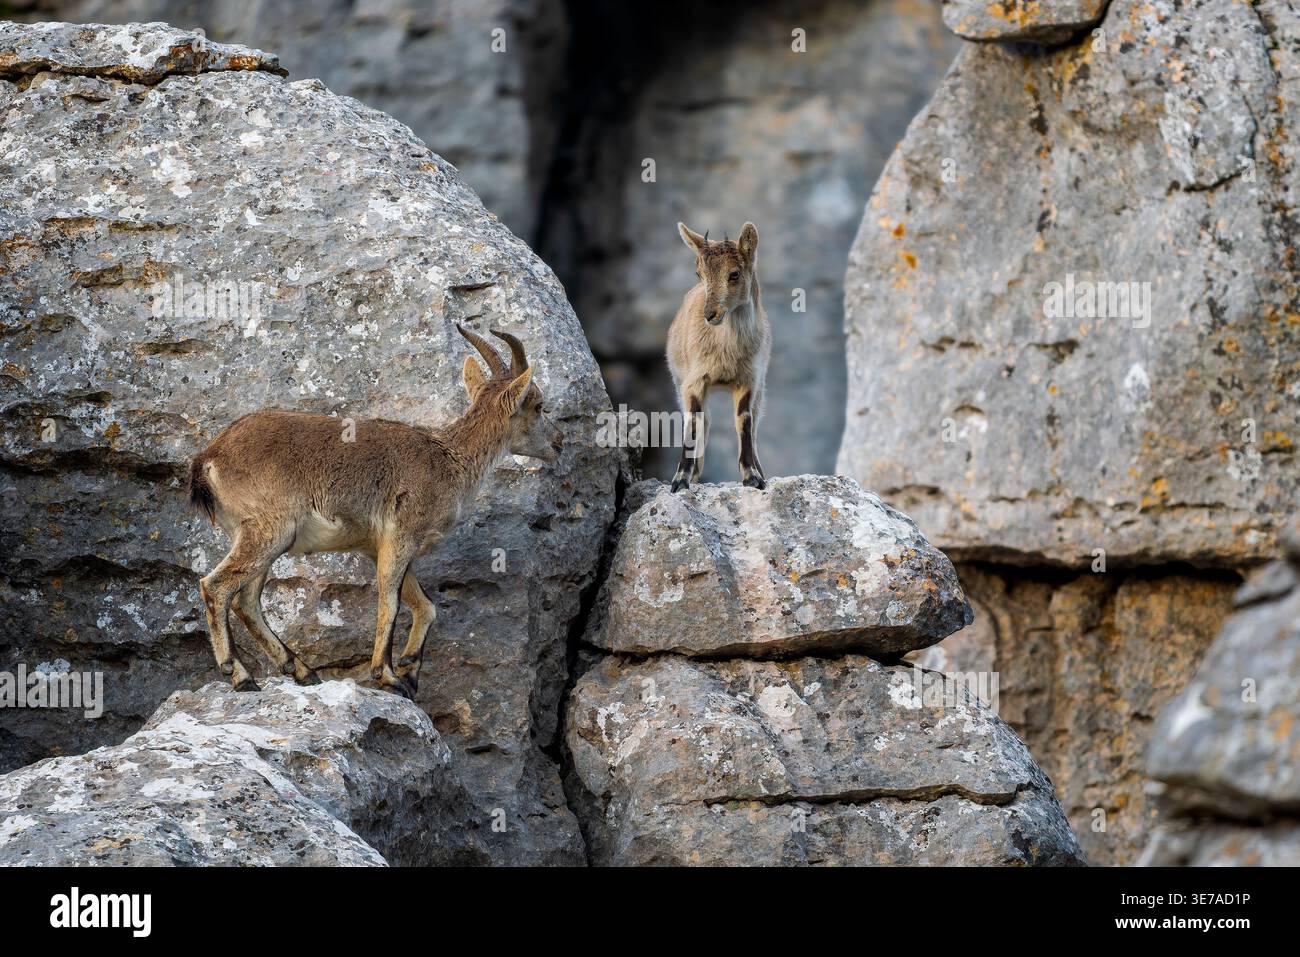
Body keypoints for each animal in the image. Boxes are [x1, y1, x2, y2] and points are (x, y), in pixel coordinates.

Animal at [186, 327, 561, 698]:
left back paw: (302, 670)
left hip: (258, 535)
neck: (450, 460)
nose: (558, 443)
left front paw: (410, 670)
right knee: (216, 586)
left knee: (246, 600)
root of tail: (209, 457)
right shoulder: (401, 536)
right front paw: (388, 675)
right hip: (270, 530)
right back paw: (240, 675)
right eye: (539, 405)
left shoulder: (377, 545)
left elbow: (425, 606)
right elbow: (390, 602)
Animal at [666, 221, 770, 492]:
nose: (710, 314)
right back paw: (694, 473)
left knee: (756, 424)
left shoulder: (749, 380)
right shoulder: (693, 381)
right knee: (704, 420)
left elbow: (744, 421)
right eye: (699, 274)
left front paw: (753, 477)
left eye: (734, 274)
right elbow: (693, 423)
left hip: (762, 387)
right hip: (678, 381)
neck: (727, 350)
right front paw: (680, 481)